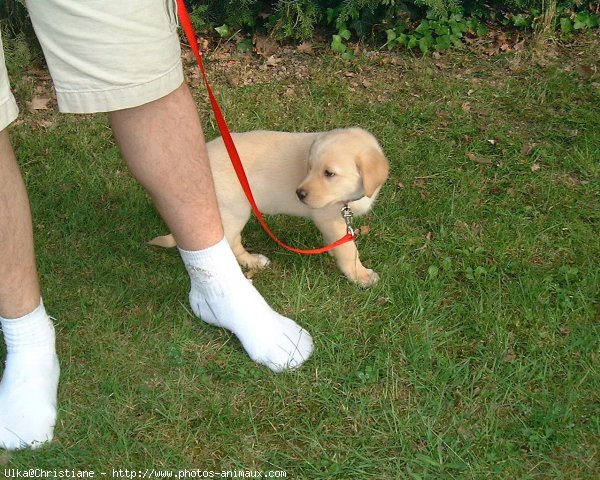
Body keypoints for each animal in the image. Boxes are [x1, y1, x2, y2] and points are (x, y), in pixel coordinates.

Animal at [152, 126, 390, 284]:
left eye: (329, 173)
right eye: (310, 167)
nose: (299, 194)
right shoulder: (329, 218)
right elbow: (348, 250)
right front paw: (360, 275)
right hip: (235, 210)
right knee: (231, 241)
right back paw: (252, 262)